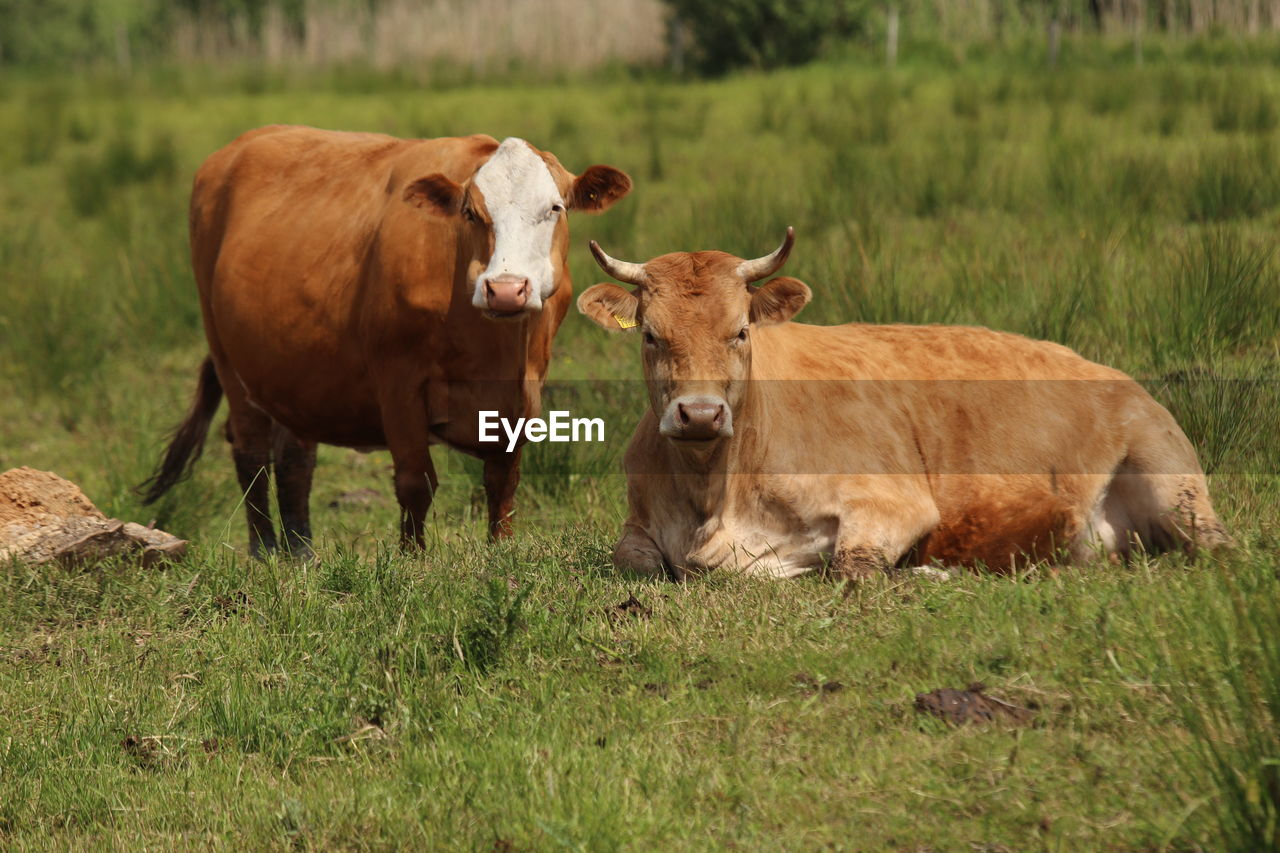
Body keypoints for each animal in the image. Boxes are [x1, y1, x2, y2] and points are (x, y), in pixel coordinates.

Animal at [138, 122, 629, 555]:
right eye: (471, 212)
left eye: (555, 208)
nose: (506, 290)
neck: (494, 350)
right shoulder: (399, 382)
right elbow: (416, 482)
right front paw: (413, 560)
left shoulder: (524, 392)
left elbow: (502, 479)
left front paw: (500, 551)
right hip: (229, 359)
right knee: (252, 454)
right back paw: (265, 551)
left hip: (296, 373)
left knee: (295, 457)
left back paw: (300, 553)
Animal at [581, 225, 1228, 578]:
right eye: (650, 335)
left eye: (740, 331)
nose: (700, 413)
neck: (713, 492)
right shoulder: (638, 525)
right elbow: (633, 559)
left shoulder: (894, 502)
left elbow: (854, 568)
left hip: (1173, 484)